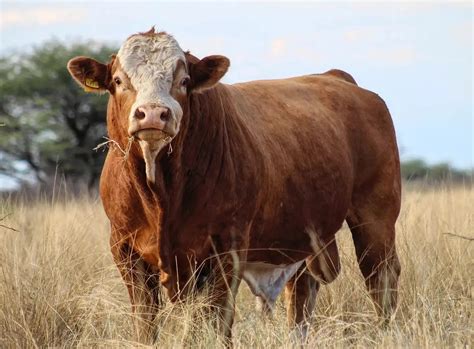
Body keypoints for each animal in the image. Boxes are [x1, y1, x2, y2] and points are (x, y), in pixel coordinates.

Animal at [66, 28, 400, 344]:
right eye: (119, 80)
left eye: (184, 80)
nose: (153, 114)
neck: (161, 195)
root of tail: (336, 77)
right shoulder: (125, 250)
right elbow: (146, 324)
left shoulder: (226, 249)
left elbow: (216, 321)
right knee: (301, 294)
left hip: (376, 219)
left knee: (381, 280)